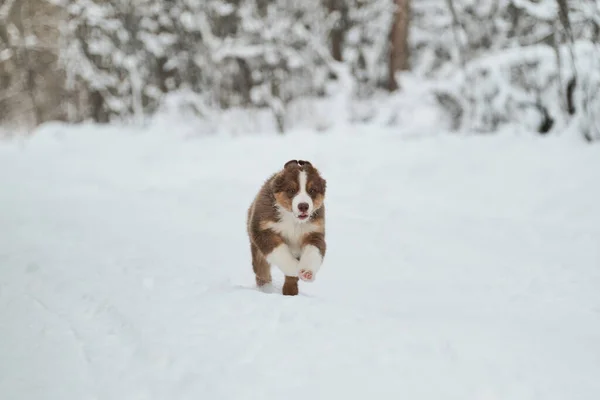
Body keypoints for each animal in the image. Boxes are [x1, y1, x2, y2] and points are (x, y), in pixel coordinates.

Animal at [245, 158, 326, 296]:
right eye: (291, 190)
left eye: (312, 190)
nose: (303, 206)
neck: (292, 219)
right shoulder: (263, 230)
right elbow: (280, 252)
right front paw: (295, 268)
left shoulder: (314, 232)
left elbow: (313, 251)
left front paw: (307, 272)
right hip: (257, 251)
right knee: (261, 271)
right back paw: (266, 290)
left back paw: (290, 292)